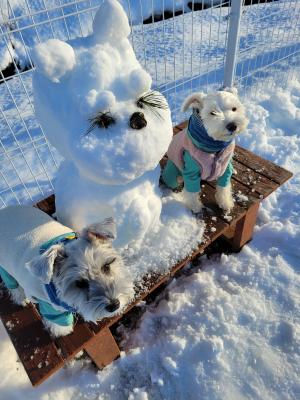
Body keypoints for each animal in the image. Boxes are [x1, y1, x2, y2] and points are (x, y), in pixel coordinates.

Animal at [0, 206, 134, 338]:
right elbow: (57, 321)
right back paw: (21, 298)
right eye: (80, 283)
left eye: (106, 266)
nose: (114, 305)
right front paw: (63, 331)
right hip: (5, 268)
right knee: (12, 285)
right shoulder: (49, 306)